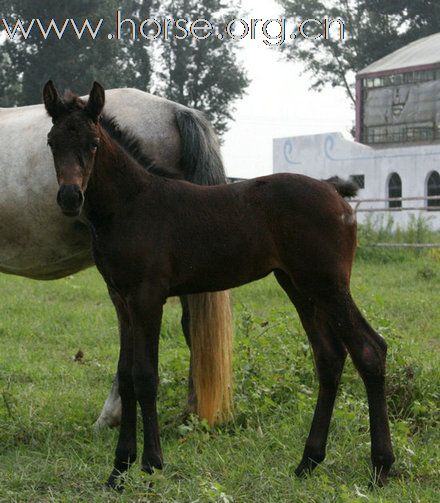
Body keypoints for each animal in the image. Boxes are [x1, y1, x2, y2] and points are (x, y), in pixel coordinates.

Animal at [43, 81, 396, 488]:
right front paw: (118, 470)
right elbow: (127, 376)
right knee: (330, 357)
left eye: (93, 143)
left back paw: (381, 465)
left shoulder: (148, 295)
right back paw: (308, 461)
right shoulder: (121, 298)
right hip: (299, 285)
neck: (131, 204)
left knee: (369, 350)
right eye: (52, 141)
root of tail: (333, 190)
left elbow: (145, 376)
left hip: (328, 283)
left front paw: (151, 463)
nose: (70, 197)